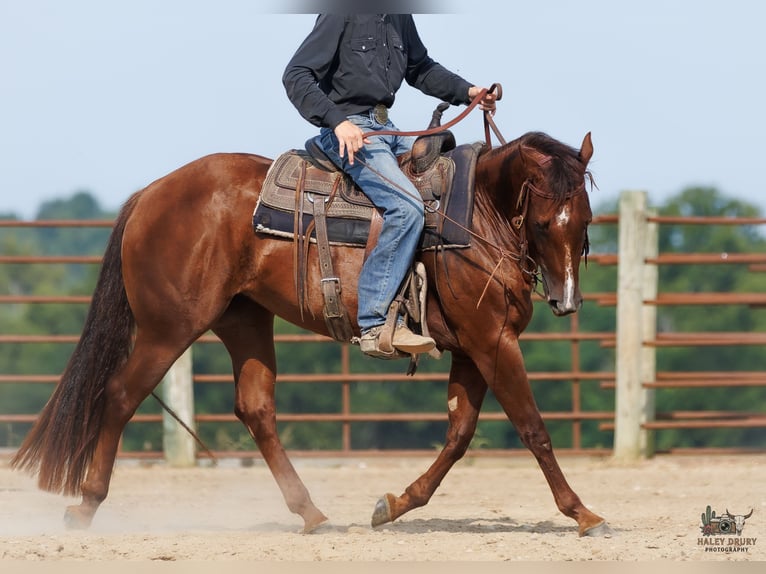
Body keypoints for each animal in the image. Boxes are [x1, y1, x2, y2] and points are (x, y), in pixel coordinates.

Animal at [11, 129, 611, 537]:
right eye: (542, 222)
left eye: (584, 222)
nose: (566, 302)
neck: (477, 215)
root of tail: (150, 195)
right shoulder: (492, 342)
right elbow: (533, 428)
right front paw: (583, 512)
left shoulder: (474, 348)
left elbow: (459, 435)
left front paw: (394, 504)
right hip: (168, 329)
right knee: (119, 395)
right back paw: (86, 504)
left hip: (244, 321)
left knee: (255, 409)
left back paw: (312, 512)